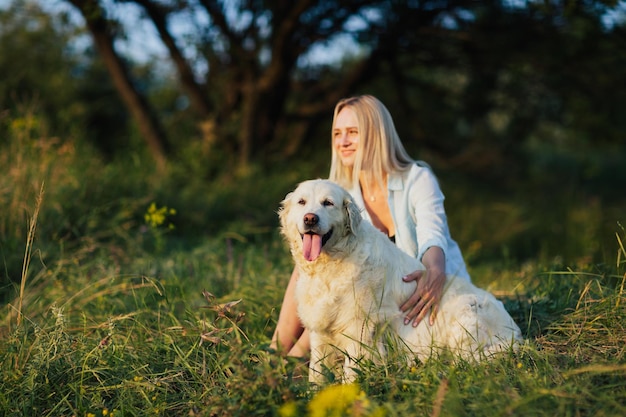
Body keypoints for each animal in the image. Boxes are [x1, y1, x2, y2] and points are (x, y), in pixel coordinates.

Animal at [278, 179, 520, 384]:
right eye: (301, 202)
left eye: (328, 203)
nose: (310, 218)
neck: (330, 264)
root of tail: (516, 334)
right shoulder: (319, 329)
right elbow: (316, 371)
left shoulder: (359, 327)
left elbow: (351, 370)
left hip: (467, 312)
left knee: (469, 362)